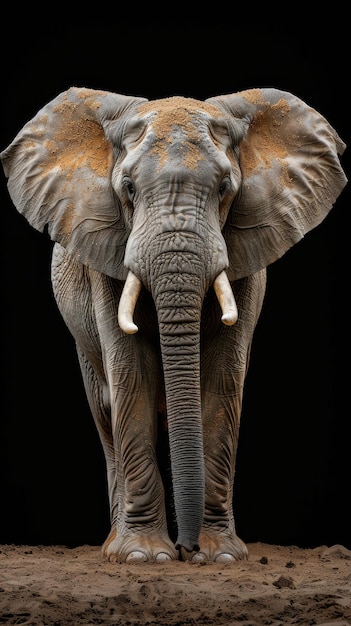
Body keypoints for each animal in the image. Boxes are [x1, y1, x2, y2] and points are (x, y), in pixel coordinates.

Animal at [0, 86, 346, 560]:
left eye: (224, 188)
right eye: (128, 188)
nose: (186, 547)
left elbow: (223, 381)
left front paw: (219, 555)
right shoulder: (106, 253)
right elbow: (131, 377)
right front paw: (145, 556)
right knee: (105, 412)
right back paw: (112, 546)